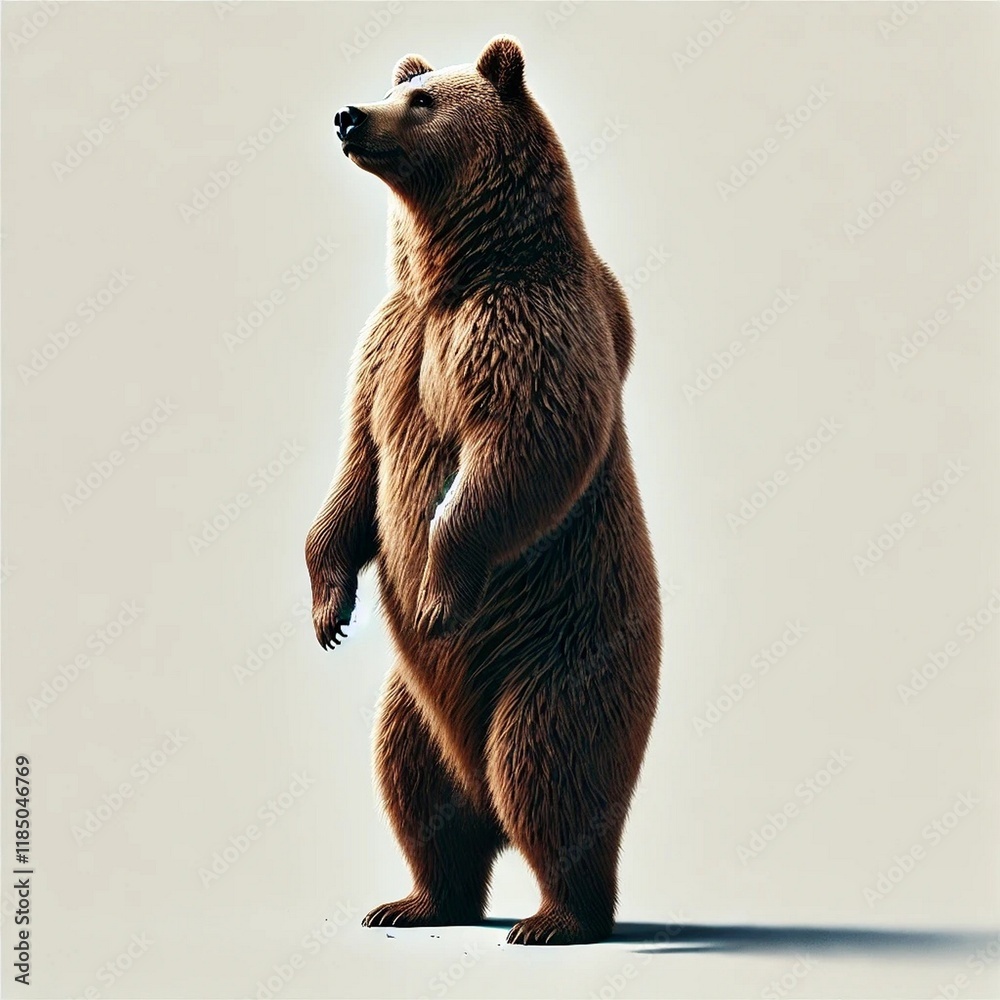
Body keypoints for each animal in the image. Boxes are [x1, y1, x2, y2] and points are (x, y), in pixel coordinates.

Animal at [306, 35, 661, 946]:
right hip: (411, 706)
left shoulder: (523, 326)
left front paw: (436, 594)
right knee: (414, 788)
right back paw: (412, 902)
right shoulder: (391, 341)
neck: (453, 273)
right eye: (402, 85)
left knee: (550, 771)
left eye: (425, 101)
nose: (348, 115)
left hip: (561, 654)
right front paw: (329, 611)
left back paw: (557, 918)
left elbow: (521, 453)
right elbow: (356, 468)